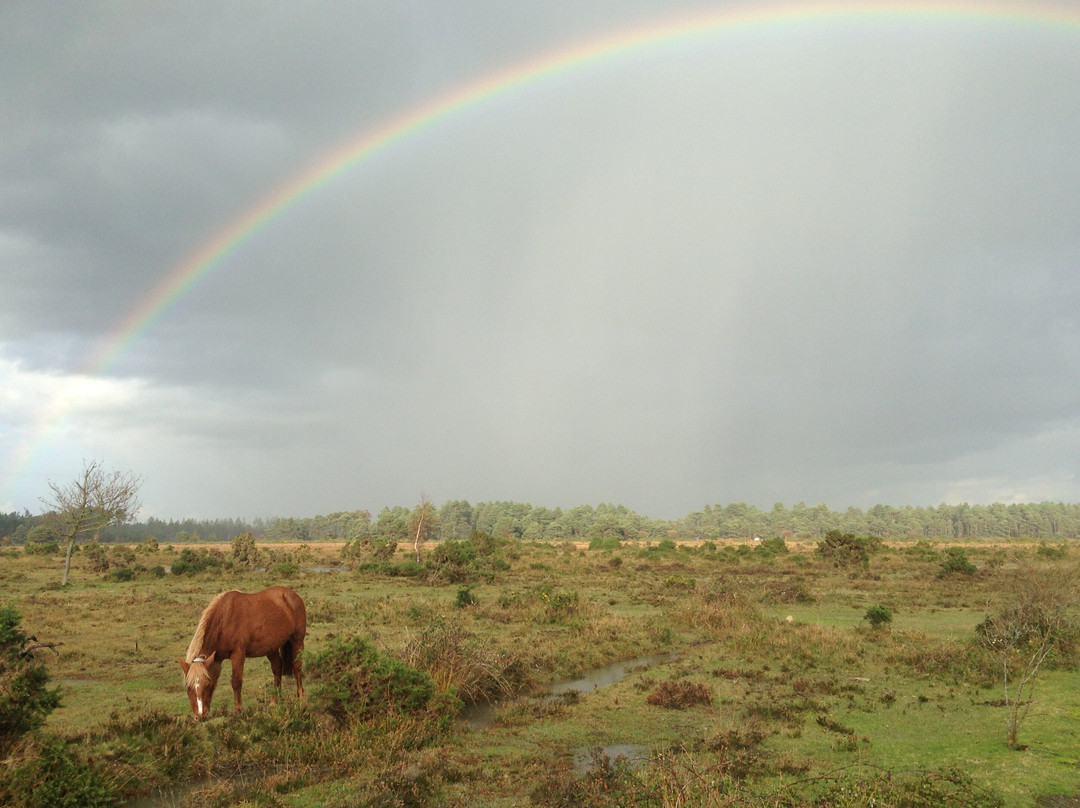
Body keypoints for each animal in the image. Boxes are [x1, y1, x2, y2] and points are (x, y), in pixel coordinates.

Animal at [176, 587, 304, 721]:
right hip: (271, 648)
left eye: (208, 684)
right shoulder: (216, 660)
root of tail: (291, 594)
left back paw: (301, 698)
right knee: (277, 668)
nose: (200, 717)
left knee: (297, 667)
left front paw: (238, 710)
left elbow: (236, 682)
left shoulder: (238, 654)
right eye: (188, 687)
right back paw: (275, 701)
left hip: (297, 641)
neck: (224, 619)